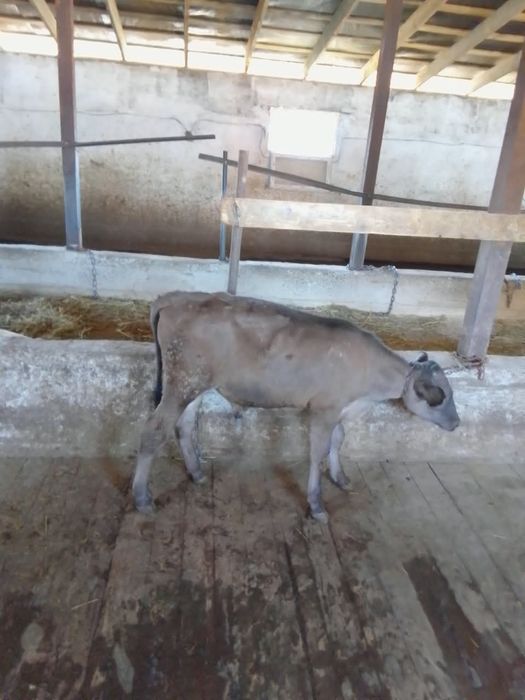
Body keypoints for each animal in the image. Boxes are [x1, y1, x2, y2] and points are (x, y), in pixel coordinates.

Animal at [132, 291, 459, 522]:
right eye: (439, 396)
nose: (456, 423)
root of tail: (175, 297)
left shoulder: (339, 409)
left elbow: (338, 441)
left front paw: (340, 478)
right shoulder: (324, 409)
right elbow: (317, 452)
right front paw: (316, 504)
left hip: (194, 385)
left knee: (184, 426)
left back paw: (197, 472)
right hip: (181, 384)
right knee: (153, 430)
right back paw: (142, 498)